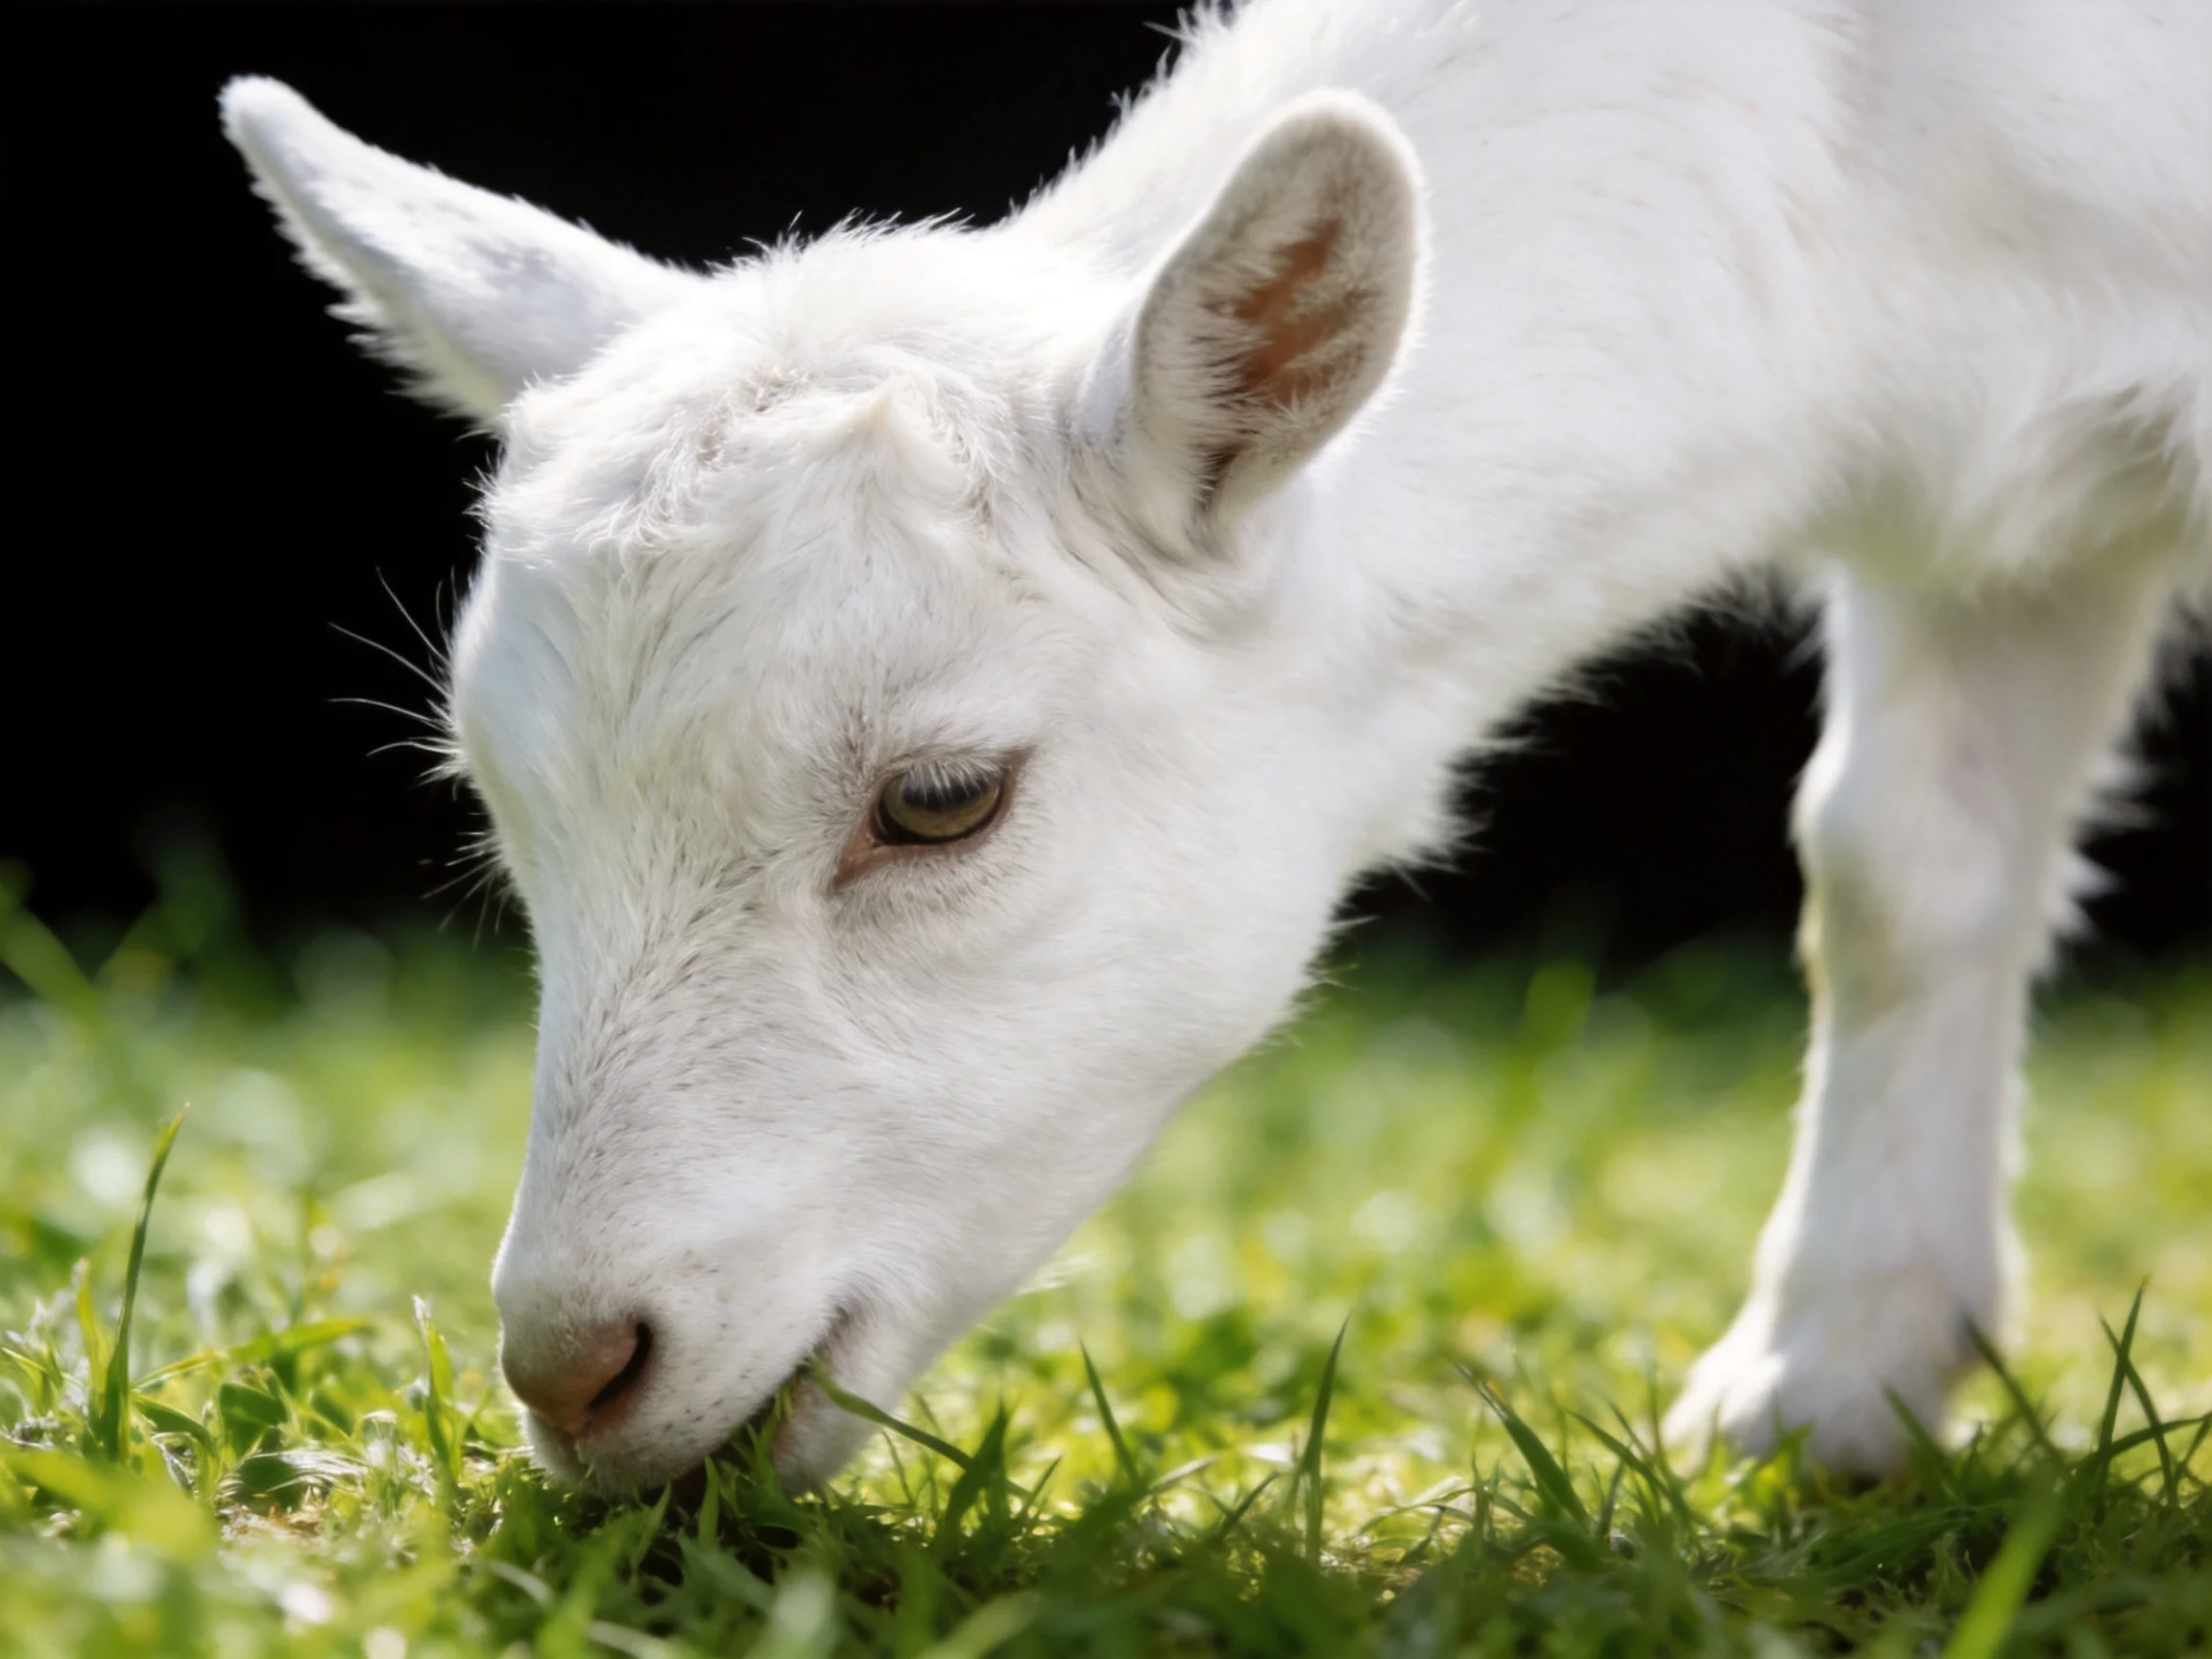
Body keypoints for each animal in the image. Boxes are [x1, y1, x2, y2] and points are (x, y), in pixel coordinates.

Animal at [223, 0, 2210, 1488]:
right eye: (502, 806)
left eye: (939, 799)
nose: (575, 1366)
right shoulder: (1985, 509)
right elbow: (1897, 866)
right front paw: (1827, 1382)